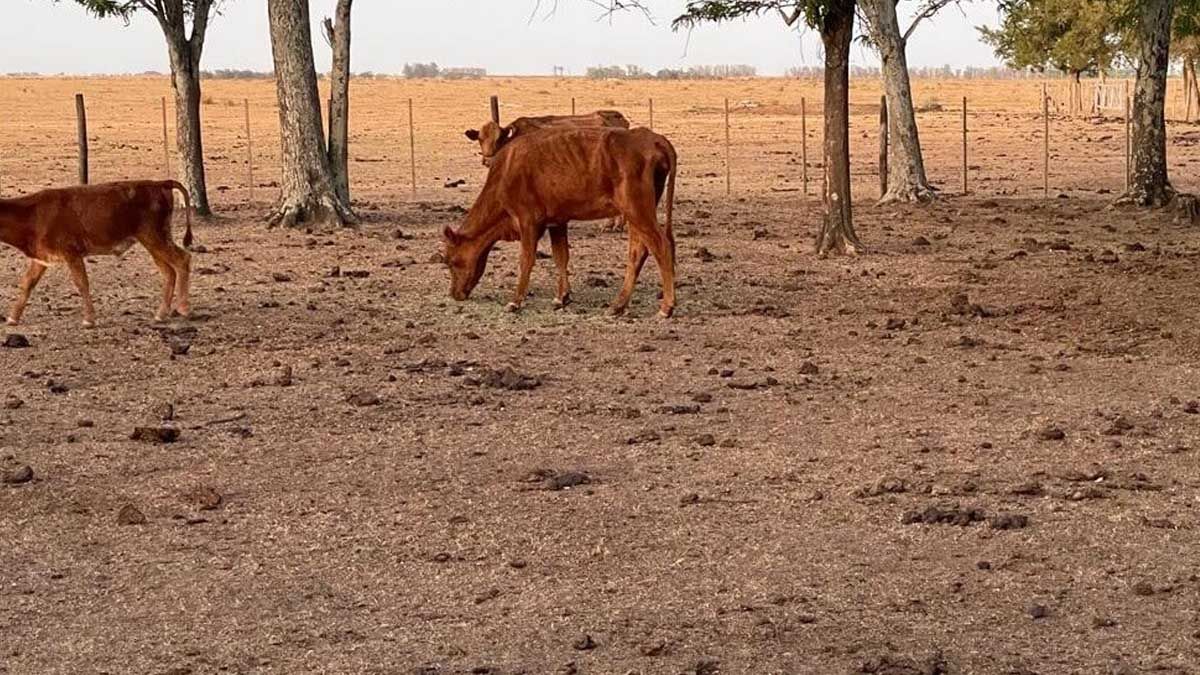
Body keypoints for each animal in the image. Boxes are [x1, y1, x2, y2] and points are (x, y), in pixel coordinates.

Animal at [0, 178, 192, 326]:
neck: (32, 215)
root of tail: (159, 183)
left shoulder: (71, 253)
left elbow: (81, 283)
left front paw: (89, 320)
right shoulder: (41, 258)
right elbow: (27, 283)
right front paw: (13, 318)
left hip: (154, 236)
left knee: (182, 259)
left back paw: (183, 308)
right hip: (153, 241)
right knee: (169, 271)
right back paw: (161, 313)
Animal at [446, 127, 681, 317]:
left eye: (452, 261)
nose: (454, 293)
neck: (506, 170)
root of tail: (652, 138)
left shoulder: (528, 221)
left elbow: (526, 260)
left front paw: (515, 301)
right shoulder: (556, 222)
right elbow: (561, 256)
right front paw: (562, 297)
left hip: (638, 211)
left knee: (662, 246)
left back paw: (666, 307)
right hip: (636, 215)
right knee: (637, 251)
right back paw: (618, 305)